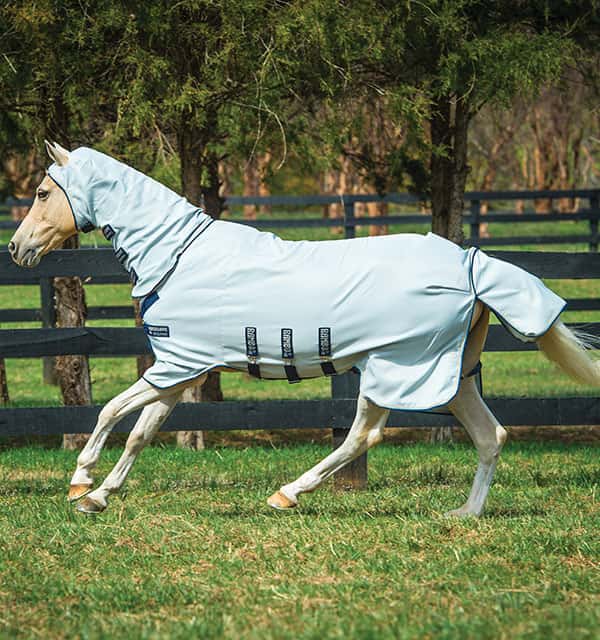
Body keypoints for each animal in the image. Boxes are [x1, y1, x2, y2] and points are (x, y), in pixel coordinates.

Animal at [8, 141, 599, 516]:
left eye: (41, 192)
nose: (17, 248)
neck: (179, 256)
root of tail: (471, 265)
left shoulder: (176, 366)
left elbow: (109, 412)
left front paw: (80, 482)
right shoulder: (180, 372)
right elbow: (141, 432)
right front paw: (99, 497)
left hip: (391, 369)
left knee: (364, 435)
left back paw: (287, 493)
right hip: (451, 378)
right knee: (489, 436)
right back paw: (465, 514)